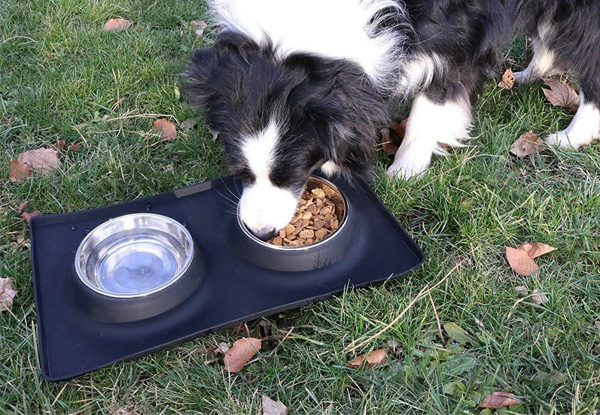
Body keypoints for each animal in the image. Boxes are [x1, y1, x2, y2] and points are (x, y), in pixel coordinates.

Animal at [185, 0, 596, 240]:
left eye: (291, 175)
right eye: (239, 172)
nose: (263, 232)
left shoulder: (456, 29)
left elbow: (438, 92)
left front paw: (405, 169)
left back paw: (571, 136)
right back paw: (529, 74)